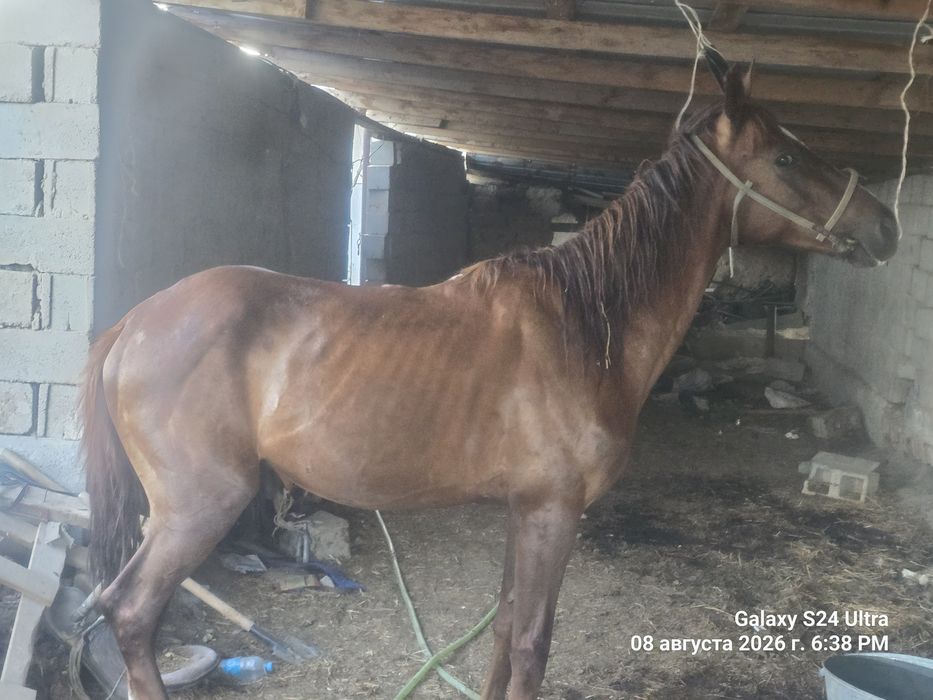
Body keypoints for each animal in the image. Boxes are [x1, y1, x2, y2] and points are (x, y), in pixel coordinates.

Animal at [80, 65, 898, 699]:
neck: (584, 326)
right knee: (130, 612)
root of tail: (133, 323)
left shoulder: (522, 510)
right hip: (198, 508)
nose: (884, 223)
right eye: (786, 157)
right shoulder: (553, 512)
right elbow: (533, 642)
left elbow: (504, 629)